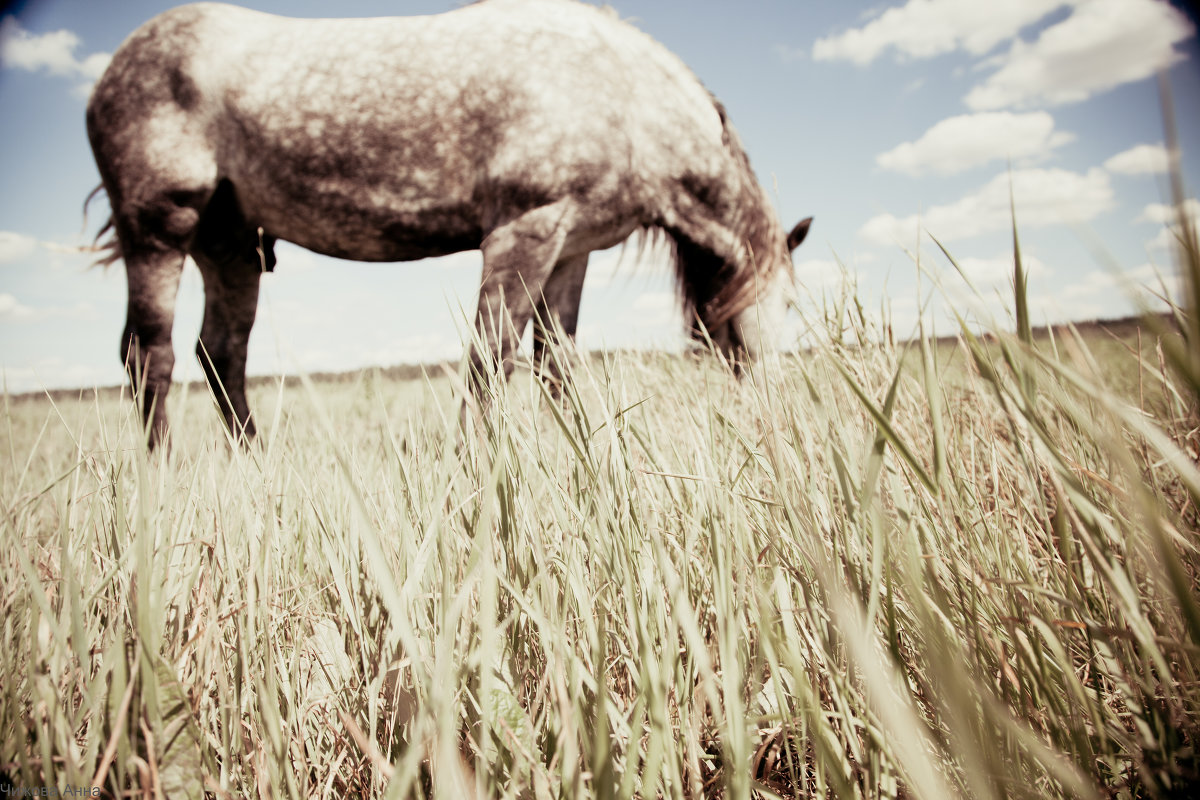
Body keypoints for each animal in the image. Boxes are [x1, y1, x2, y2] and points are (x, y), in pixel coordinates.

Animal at [87, 0, 816, 450]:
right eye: (776, 304)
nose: (776, 411)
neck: (623, 94)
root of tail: (108, 76)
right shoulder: (524, 231)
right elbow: (491, 358)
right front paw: (476, 470)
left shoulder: (570, 249)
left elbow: (555, 364)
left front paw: (584, 455)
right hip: (158, 230)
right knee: (150, 356)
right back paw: (161, 474)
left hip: (229, 244)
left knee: (221, 355)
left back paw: (253, 466)